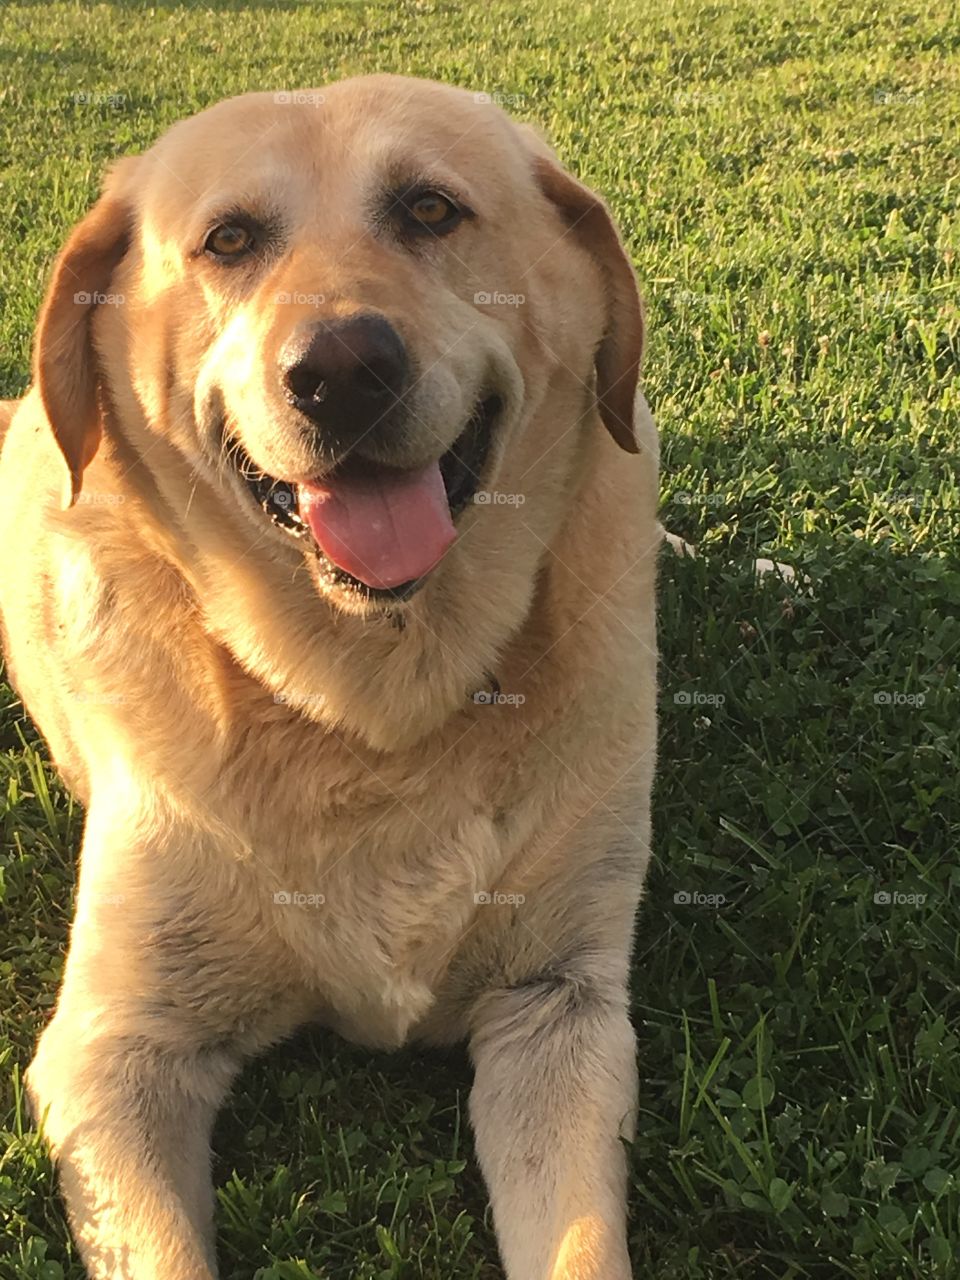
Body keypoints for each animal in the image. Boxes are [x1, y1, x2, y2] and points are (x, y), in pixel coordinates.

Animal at [0, 77, 660, 1280]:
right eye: (228, 239)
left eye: (431, 209)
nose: (343, 371)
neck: (371, 696)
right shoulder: (116, 1050)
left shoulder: (559, 1002)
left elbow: (581, 1243)